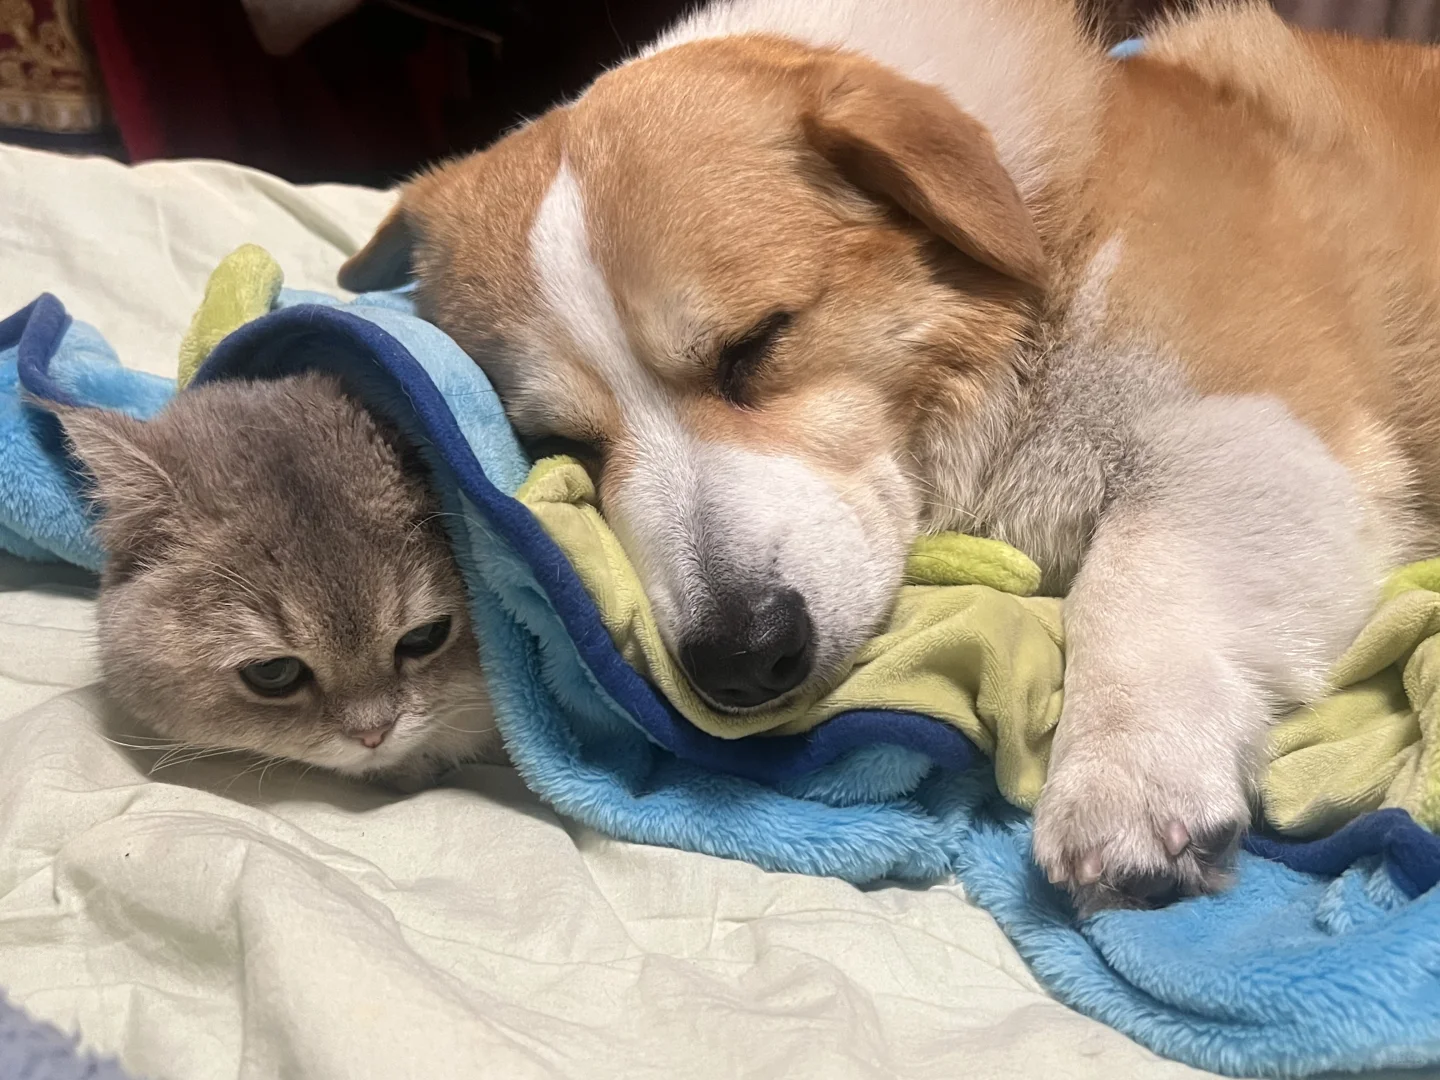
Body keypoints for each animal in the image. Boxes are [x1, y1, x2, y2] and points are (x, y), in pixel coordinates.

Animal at [338, 0, 1440, 912]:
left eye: (758, 343)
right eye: (561, 442)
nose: (741, 663)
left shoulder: (1259, 429)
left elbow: (1134, 578)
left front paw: (1124, 780)